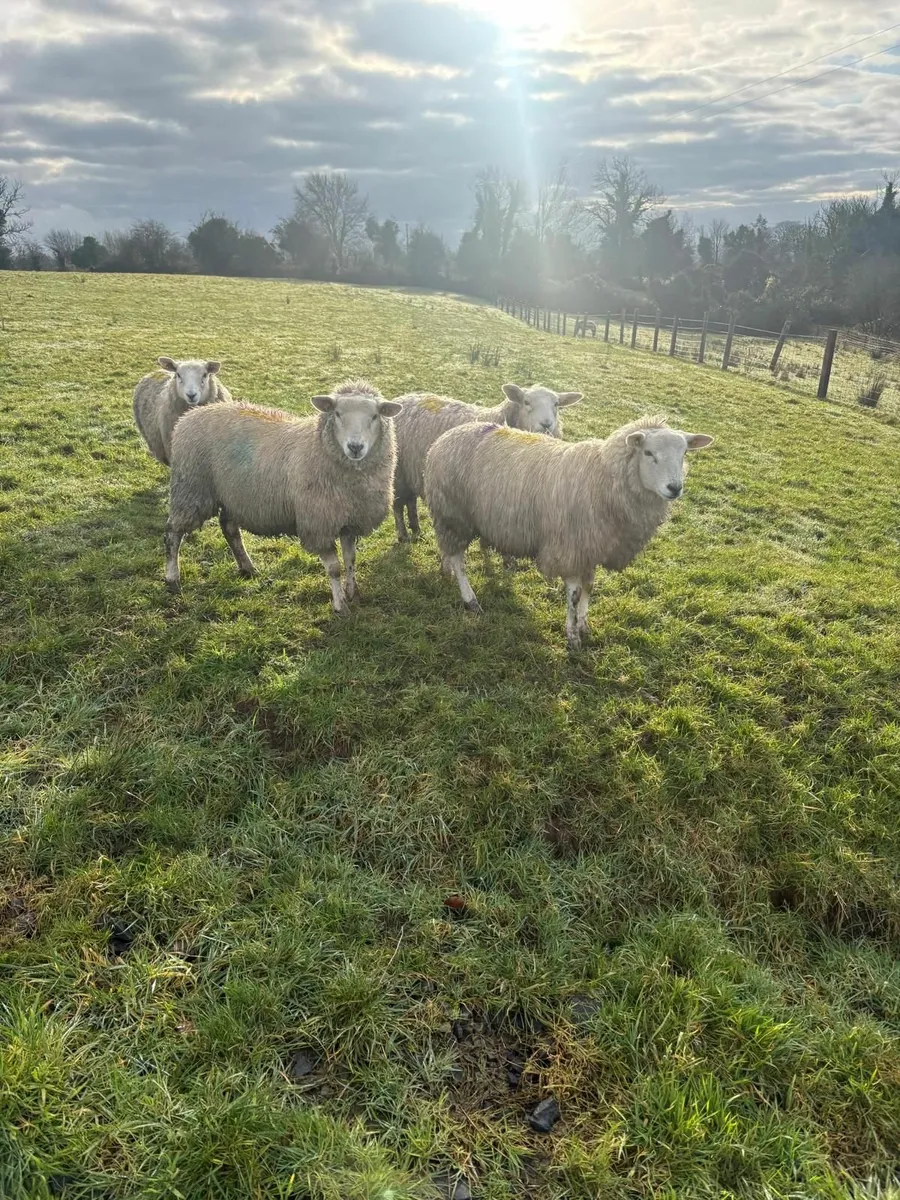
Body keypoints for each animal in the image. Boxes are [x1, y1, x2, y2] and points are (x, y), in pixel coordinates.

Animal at [164, 379, 402, 611]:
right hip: (191, 489)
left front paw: (353, 593)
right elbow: (334, 568)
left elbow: (351, 559)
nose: (355, 447)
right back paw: (172, 578)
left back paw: (247, 567)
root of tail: (190, 415)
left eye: (375, 415)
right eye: (337, 413)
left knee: (230, 529)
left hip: (233, 495)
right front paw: (340, 605)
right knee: (173, 532)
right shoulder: (318, 524)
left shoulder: (349, 521)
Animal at [391, 383, 582, 542]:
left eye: (556, 404)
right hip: (397, 471)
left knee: (410, 501)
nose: (546, 424)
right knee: (398, 505)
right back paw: (403, 535)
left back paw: (416, 529)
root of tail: (401, 399)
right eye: (526, 402)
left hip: (410, 473)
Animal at [423, 415, 713, 649]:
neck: (603, 478)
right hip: (454, 514)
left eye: (684, 454)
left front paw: (583, 625)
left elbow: (590, 587)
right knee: (459, 559)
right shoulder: (571, 547)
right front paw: (572, 637)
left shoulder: (592, 547)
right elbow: (573, 595)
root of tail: (444, 438)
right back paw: (469, 599)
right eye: (649, 453)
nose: (674, 488)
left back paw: (445, 570)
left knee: (446, 548)